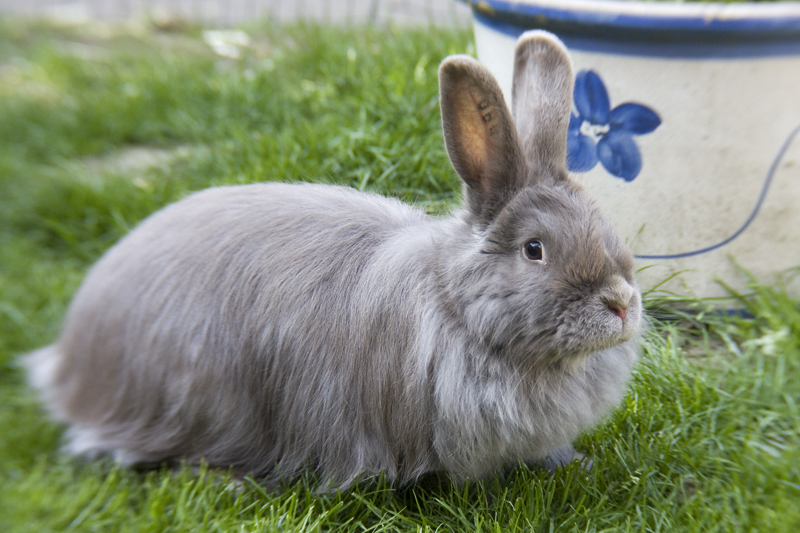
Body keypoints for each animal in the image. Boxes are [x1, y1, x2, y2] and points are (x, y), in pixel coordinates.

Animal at [25, 30, 644, 490]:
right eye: (534, 249)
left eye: (604, 225)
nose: (621, 304)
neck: (455, 307)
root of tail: (72, 356)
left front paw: (574, 462)